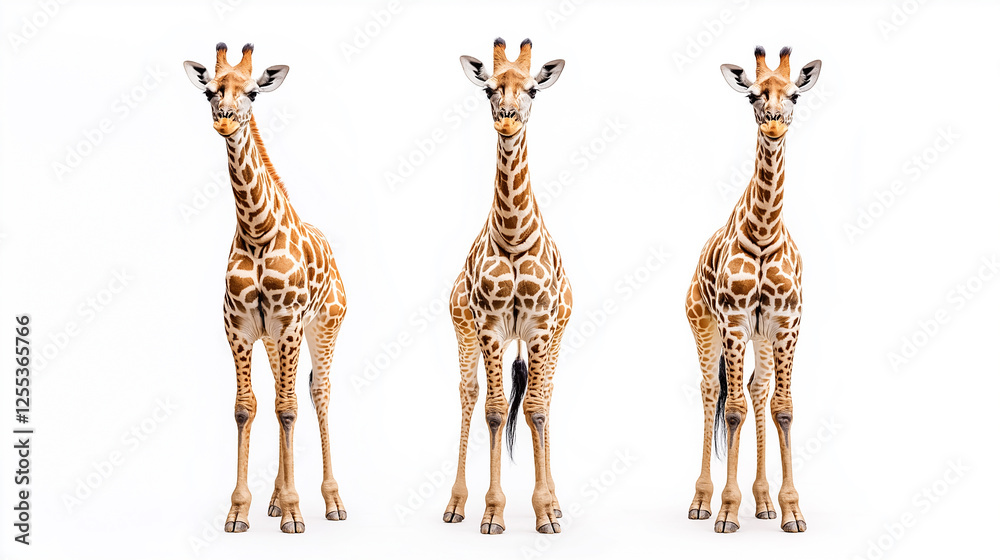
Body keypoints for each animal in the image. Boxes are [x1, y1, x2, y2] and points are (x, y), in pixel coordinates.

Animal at [183, 43, 348, 534]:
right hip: (275, 341)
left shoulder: (290, 322)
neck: (256, 230)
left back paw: (331, 502)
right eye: (211, 91)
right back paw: (275, 499)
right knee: (282, 395)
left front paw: (295, 511)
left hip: (323, 328)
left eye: (253, 92)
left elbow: (289, 407)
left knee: (318, 395)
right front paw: (240, 510)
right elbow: (247, 407)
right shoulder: (238, 328)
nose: (224, 120)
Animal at [441, 38, 571, 536]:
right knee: (468, 393)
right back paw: (456, 504)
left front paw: (545, 512)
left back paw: (557, 502)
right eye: (489, 89)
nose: (508, 118)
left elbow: (534, 408)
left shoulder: (539, 327)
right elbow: (495, 410)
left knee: (545, 398)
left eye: (533, 88)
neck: (514, 236)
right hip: (462, 330)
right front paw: (492, 512)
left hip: (555, 336)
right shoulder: (489, 326)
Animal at [684, 46, 821, 534]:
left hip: (761, 339)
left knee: (757, 390)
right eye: (752, 96)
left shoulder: (786, 324)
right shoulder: (733, 320)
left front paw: (791, 511)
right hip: (704, 326)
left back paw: (762, 503)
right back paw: (700, 501)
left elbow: (782, 406)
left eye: (795, 94)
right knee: (711, 392)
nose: (774, 123)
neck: (763, 231)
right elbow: (733, 410)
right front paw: (726, 511)